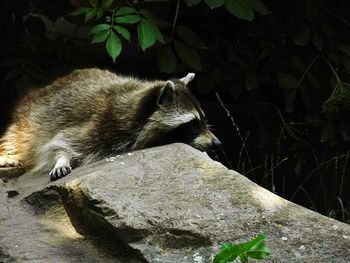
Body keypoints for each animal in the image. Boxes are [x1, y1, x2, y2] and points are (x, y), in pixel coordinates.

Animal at [0, 68, 221, 180]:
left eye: (203, 120)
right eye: (193, 123)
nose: (218, 143)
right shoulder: (102, 123)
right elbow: (61, 141)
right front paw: (61, 159)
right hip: (27, 122)